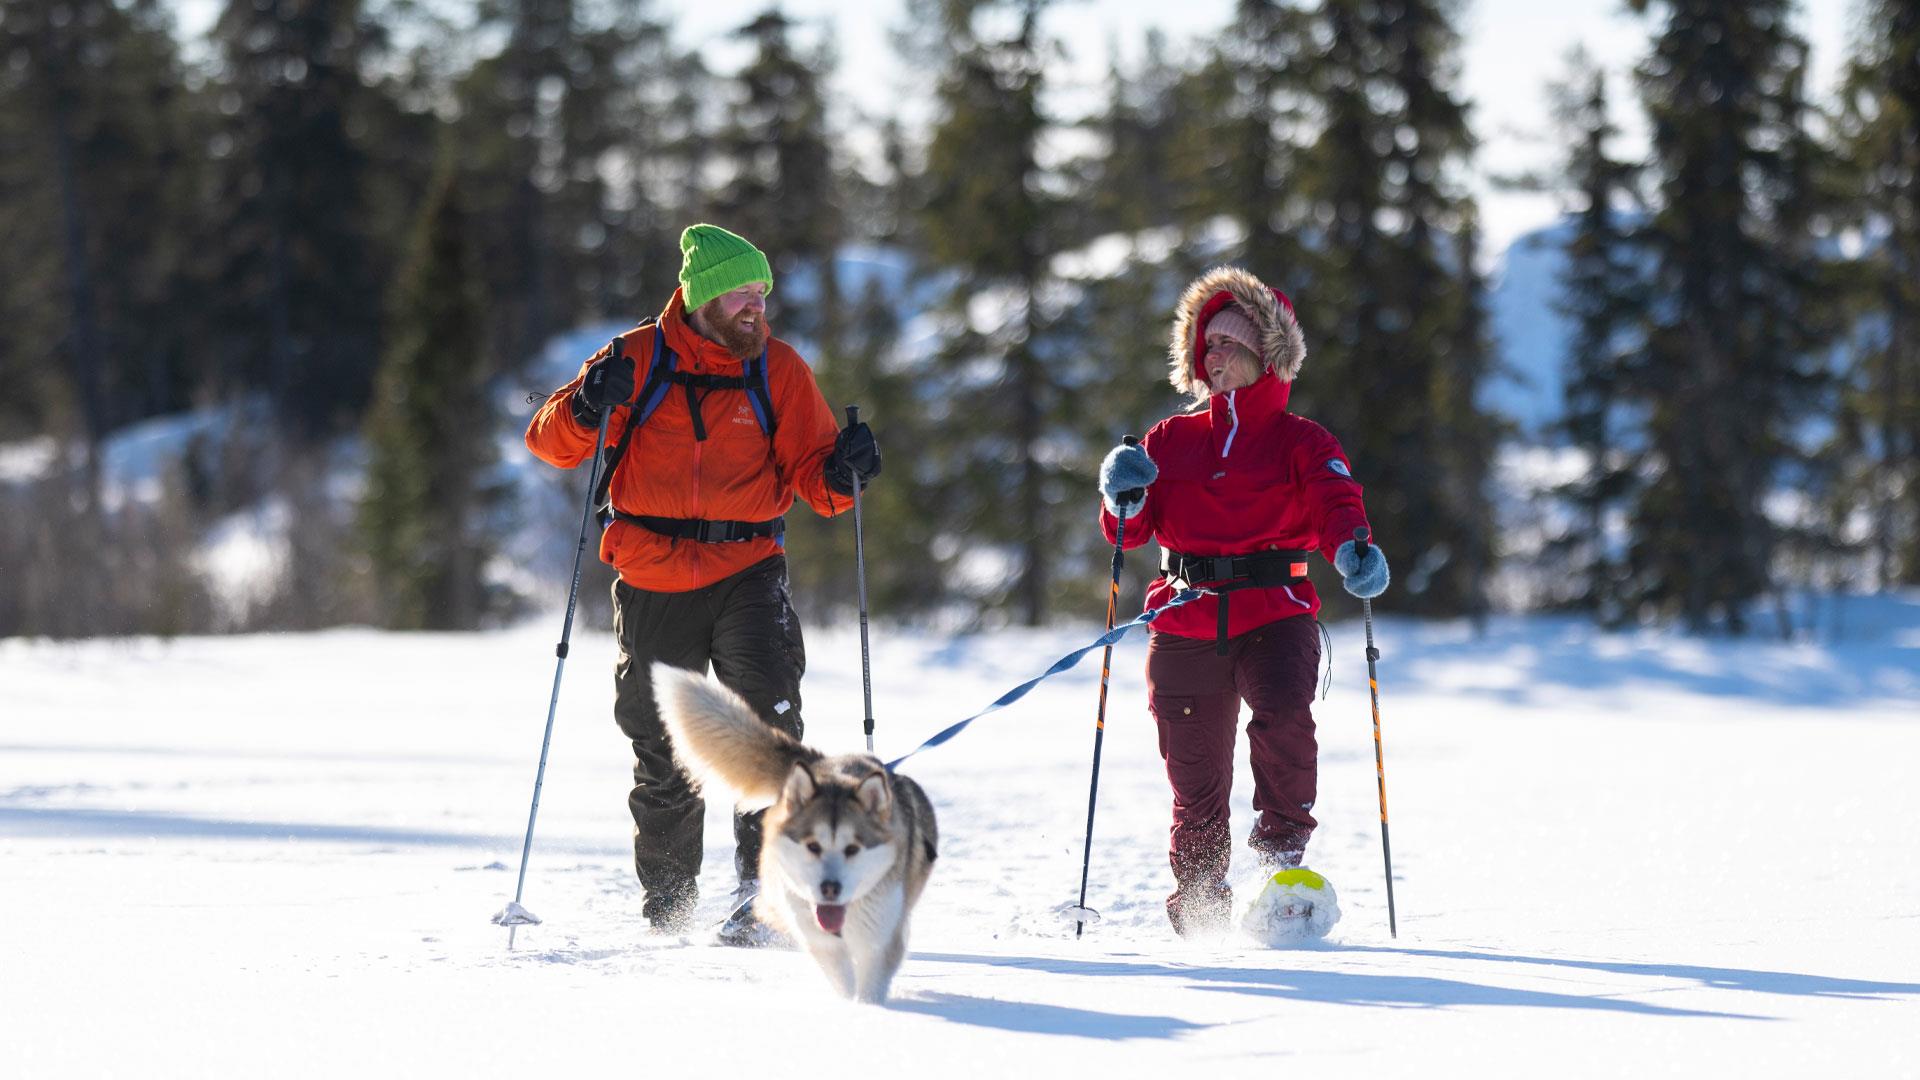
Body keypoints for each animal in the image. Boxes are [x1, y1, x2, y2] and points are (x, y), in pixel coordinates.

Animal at [652, 661, 936, 1006]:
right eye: (812, 846)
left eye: (853, 849)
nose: (829, 888)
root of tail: (825, 763)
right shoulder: (817, 933)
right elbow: (840, 974)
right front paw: (850, 1004)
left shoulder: (881, 932)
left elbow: (872, 976)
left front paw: (867, 1008)